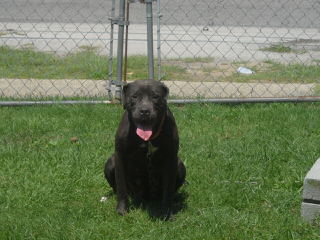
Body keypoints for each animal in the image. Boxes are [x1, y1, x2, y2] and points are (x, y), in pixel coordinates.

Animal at [104, 79, 186, 219]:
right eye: (134, 96)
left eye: (155, 96)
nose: (144, 111)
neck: (148, 139)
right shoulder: (120, 157)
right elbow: (121, 186)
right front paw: (122, 210)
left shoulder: (171, 159)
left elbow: (168, 189)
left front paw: (166, 213)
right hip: (110, 162)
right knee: (116, 187)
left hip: (180, 165)